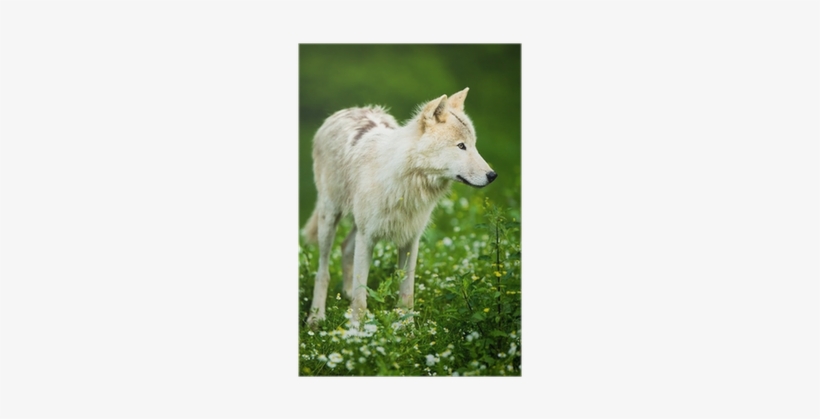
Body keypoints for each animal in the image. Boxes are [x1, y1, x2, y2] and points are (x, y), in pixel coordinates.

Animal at [302, 88, 496, 327]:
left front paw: (408, 329)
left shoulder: (410, 239)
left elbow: (407, 292)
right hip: (330, 219)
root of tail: (348, 110)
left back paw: (344, 296)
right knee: (323, 270)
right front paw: (357, 331)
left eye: (474, 145)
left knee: (346, 247)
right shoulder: (367, 238)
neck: (407, 183)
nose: (492, 175)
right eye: (461, 146)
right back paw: (316, 317)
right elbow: (361, 297)